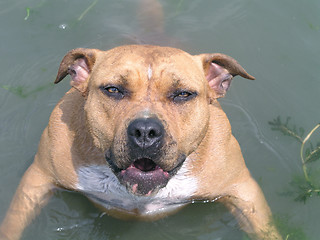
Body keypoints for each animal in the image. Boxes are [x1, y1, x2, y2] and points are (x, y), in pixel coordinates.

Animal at [0, 45, 282, 240]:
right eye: (113, 90)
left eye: (183, 94)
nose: (146, 130)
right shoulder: (38, 179)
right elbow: (13, 222)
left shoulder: (241, 189)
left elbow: (266, 230)